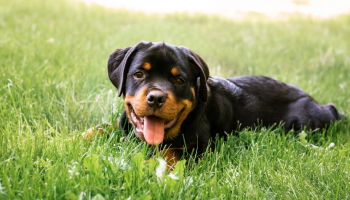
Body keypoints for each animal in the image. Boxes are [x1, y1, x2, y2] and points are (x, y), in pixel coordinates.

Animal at [98, 41, 342, 168]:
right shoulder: (122, 126)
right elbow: (102, 127)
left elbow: (171, 152)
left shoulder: (203, 147)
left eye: (179, 80)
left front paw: (151, 165)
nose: (156, 98)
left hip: (304, 124)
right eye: (139, 74)